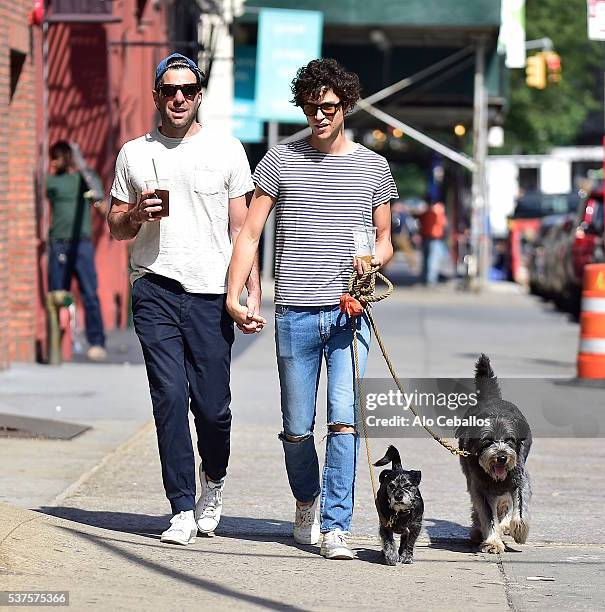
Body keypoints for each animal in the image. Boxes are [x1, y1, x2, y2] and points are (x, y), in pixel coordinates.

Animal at [456, 354, 532, 556]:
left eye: (509, 440)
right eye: (487, 441)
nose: (502, 457)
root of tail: (491, 398)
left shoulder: (520, 480)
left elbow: (519, 508)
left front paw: (518, 529)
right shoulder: (480, 488)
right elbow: (487, 516)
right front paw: (492, 542)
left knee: (506, 502)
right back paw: (477, 531)